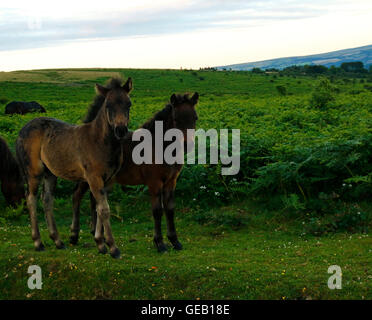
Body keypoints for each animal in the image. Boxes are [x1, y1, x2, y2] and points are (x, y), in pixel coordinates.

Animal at [15, 78, 132, 260]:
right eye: (108, 105)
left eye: (129, 104)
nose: (121, 130)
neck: (100, 141)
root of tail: (22, 130)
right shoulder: (93, 178)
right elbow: (104, 209)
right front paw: (112, 248)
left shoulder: (107, 180)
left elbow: (99, 208)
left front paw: (100, 243)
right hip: (34, 172)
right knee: (31, 199)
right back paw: (38, 242)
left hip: (50, 173)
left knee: (47, 199)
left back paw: (58, 241)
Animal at [71, 92, 198, 252]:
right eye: (176, 119)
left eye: (195, 118)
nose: (188, 145)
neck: (159, 146)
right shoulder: (154, 183)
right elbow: (157, 210)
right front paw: (160, 243)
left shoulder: (171, 182)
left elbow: (170, 209)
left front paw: (175, 241)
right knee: (77, 197)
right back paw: (74, 236)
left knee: (95, 200)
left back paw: (98, 235)